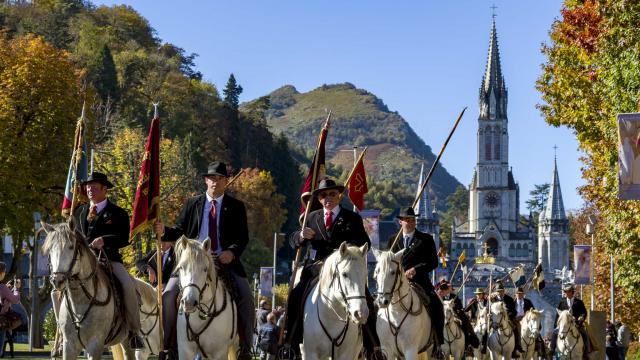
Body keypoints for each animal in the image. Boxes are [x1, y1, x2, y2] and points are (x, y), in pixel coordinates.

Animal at [42, 222, 133, 360]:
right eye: (50, 249)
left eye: (71, 246)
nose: (57, 280)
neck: (80, 301)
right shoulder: (69, 345)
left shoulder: (95, 345)